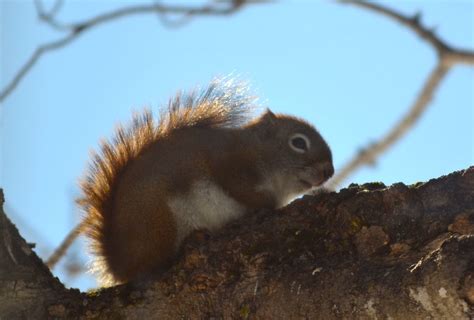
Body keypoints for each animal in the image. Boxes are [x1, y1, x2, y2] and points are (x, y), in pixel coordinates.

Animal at [57, 79, 334, 286]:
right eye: (298, 142)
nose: (329, 171)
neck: (259, 152)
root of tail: (118, 263)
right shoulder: (230, 165)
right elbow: (244, 191)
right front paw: (269, 205)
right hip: (159, 217)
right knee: (154, 263)